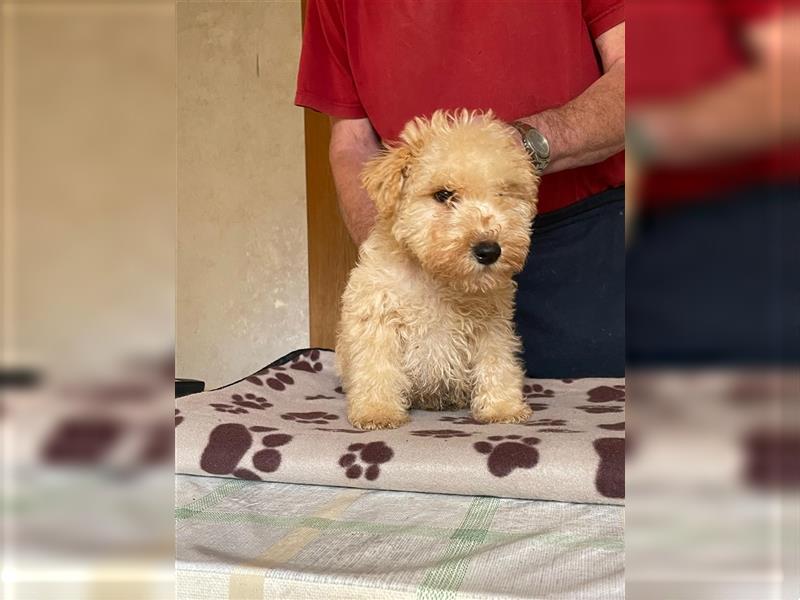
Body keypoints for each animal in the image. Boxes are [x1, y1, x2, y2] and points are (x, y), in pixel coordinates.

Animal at [334, 110, 540, 428]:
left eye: (503, 194)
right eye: (443, 195)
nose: (489, 251)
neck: (436, 278)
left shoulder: (492, 326)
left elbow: (497, 363)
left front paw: (503, 408)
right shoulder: (379, 317)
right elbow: (377, 368)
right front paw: (377, 411)